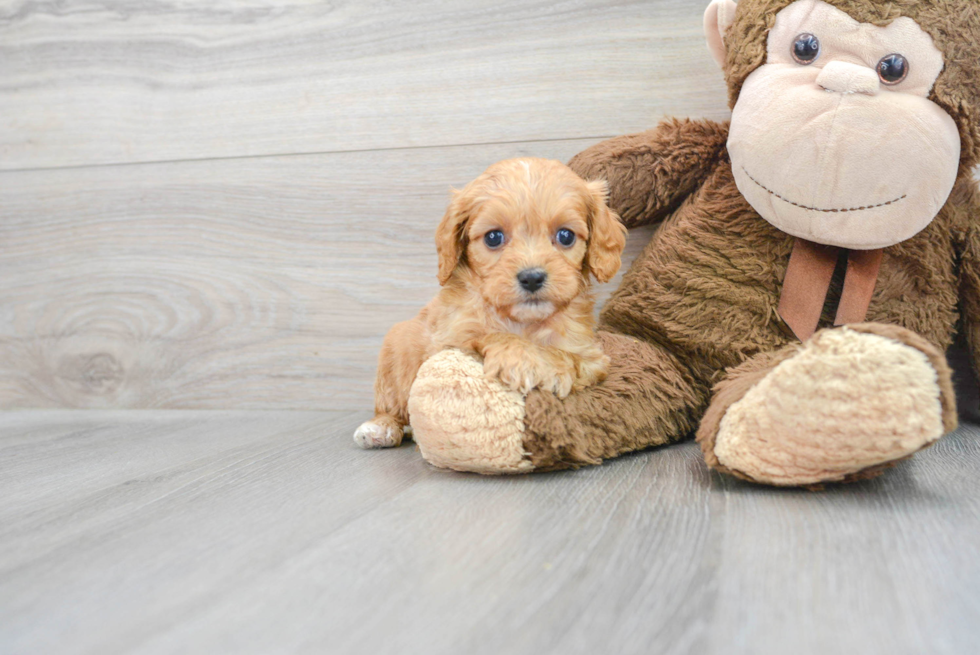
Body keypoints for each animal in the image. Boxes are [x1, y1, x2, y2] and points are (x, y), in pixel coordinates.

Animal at [352, 156, 628, 448]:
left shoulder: (591, 357)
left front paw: (549, 365)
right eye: (493, 237)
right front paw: (521, 359)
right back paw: (380, 427)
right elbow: (489, 334)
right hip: (395, 352)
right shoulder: (449, 339)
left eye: (566, 236)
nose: (532, 277)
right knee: (391, 406)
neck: (523, 323)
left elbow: (568, 356)